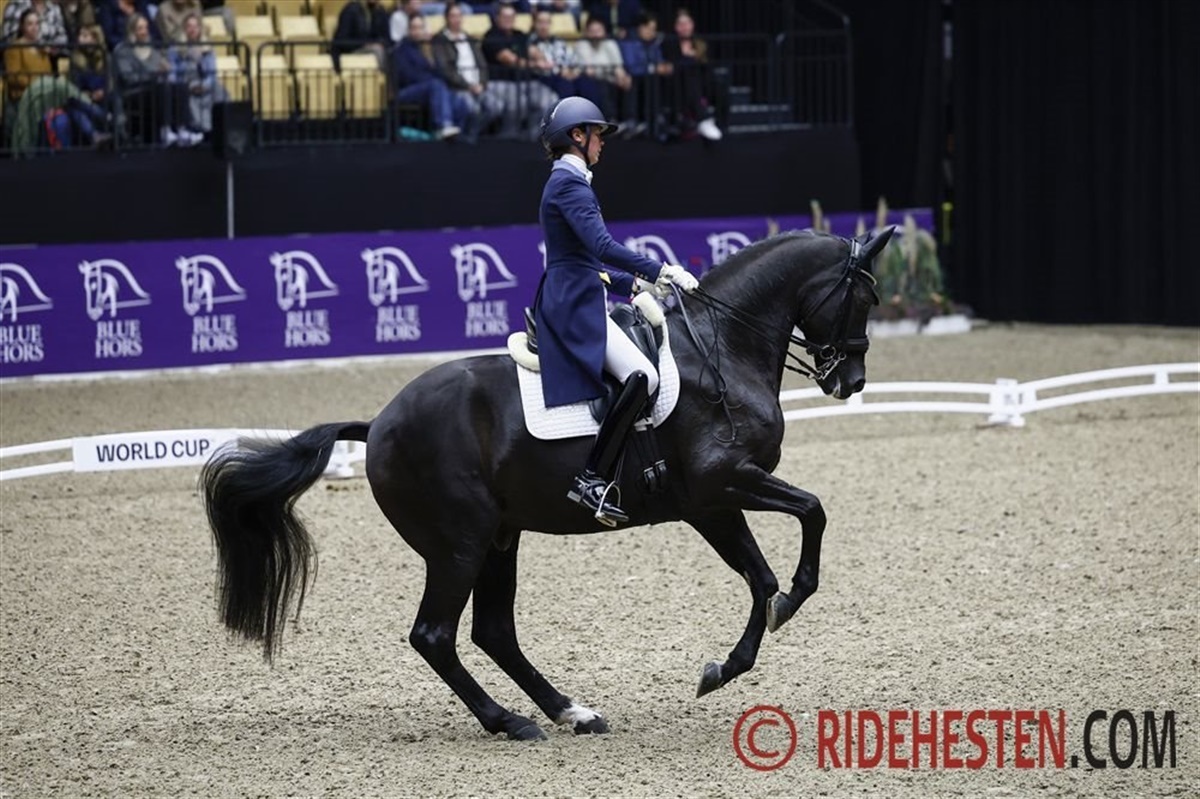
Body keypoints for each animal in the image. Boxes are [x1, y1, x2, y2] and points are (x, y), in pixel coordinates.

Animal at [201, 226, 894, 740]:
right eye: (865, 298)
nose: (851, 381)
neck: (720, 347)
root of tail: (378, 425)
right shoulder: (723, 484)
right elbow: (812, 513)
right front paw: (783, 610)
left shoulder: (711, 503)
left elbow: (761, 576)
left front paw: (725, 667)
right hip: (460, 542)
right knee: (435, 635)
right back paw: (509, 722)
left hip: (499, 538)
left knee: (492, 633)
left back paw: (572, 712)